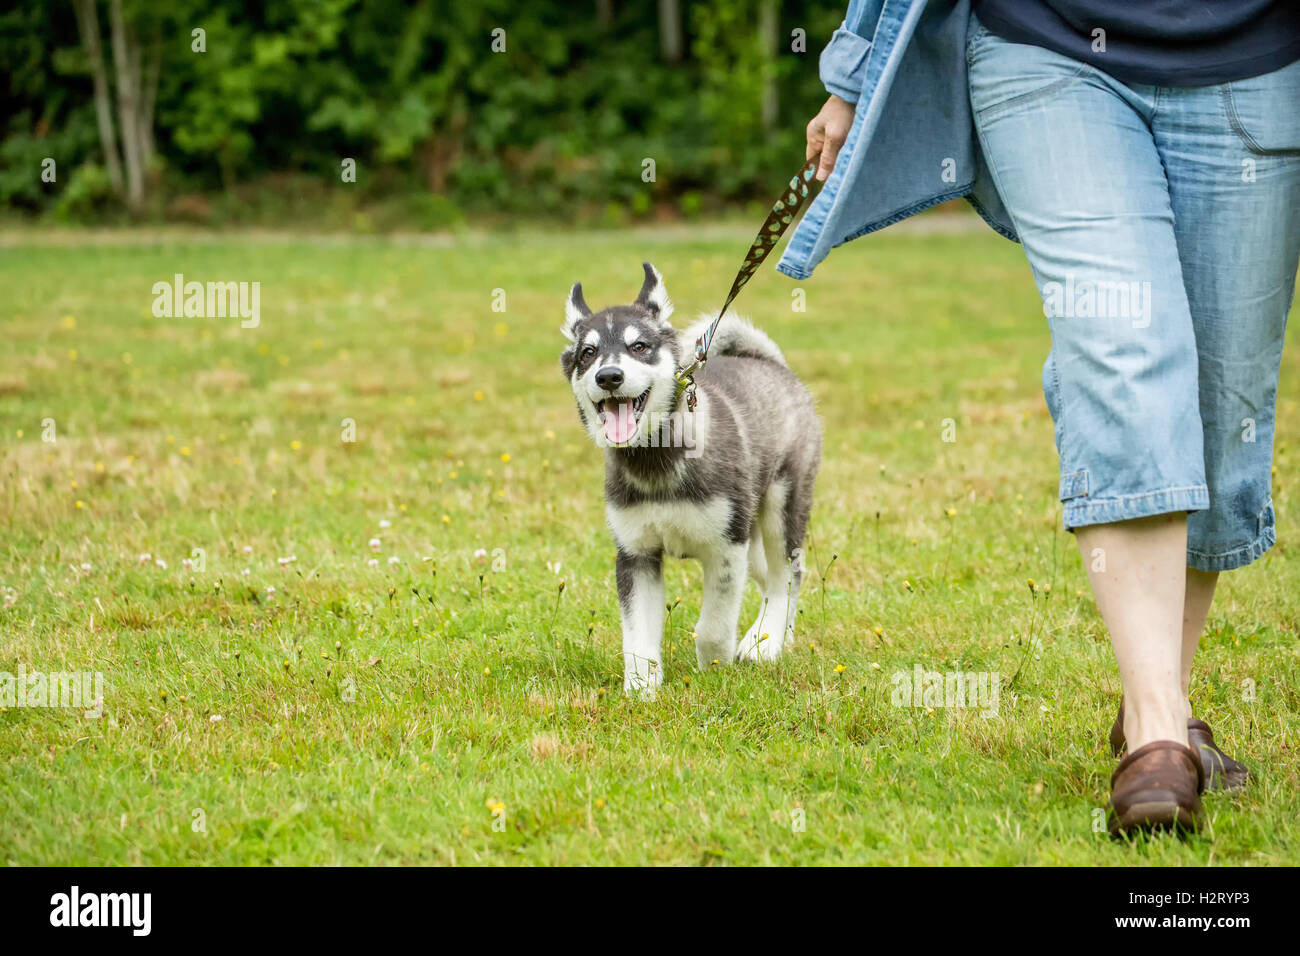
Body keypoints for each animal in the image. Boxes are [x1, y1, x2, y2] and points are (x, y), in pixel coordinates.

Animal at [559, 261, 821, 697]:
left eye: (639, 347)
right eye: (588, 353)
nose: (609, 377)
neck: (655, 462)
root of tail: (768, 362)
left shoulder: (726, 548)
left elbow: (713, 624)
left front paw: (715, 670)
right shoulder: (636, 554)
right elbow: (637, 636)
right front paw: (641, 689)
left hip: (780, 507)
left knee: (788, 574)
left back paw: (763, 645)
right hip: (751, 536)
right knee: (768, 578)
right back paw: (772, 636)